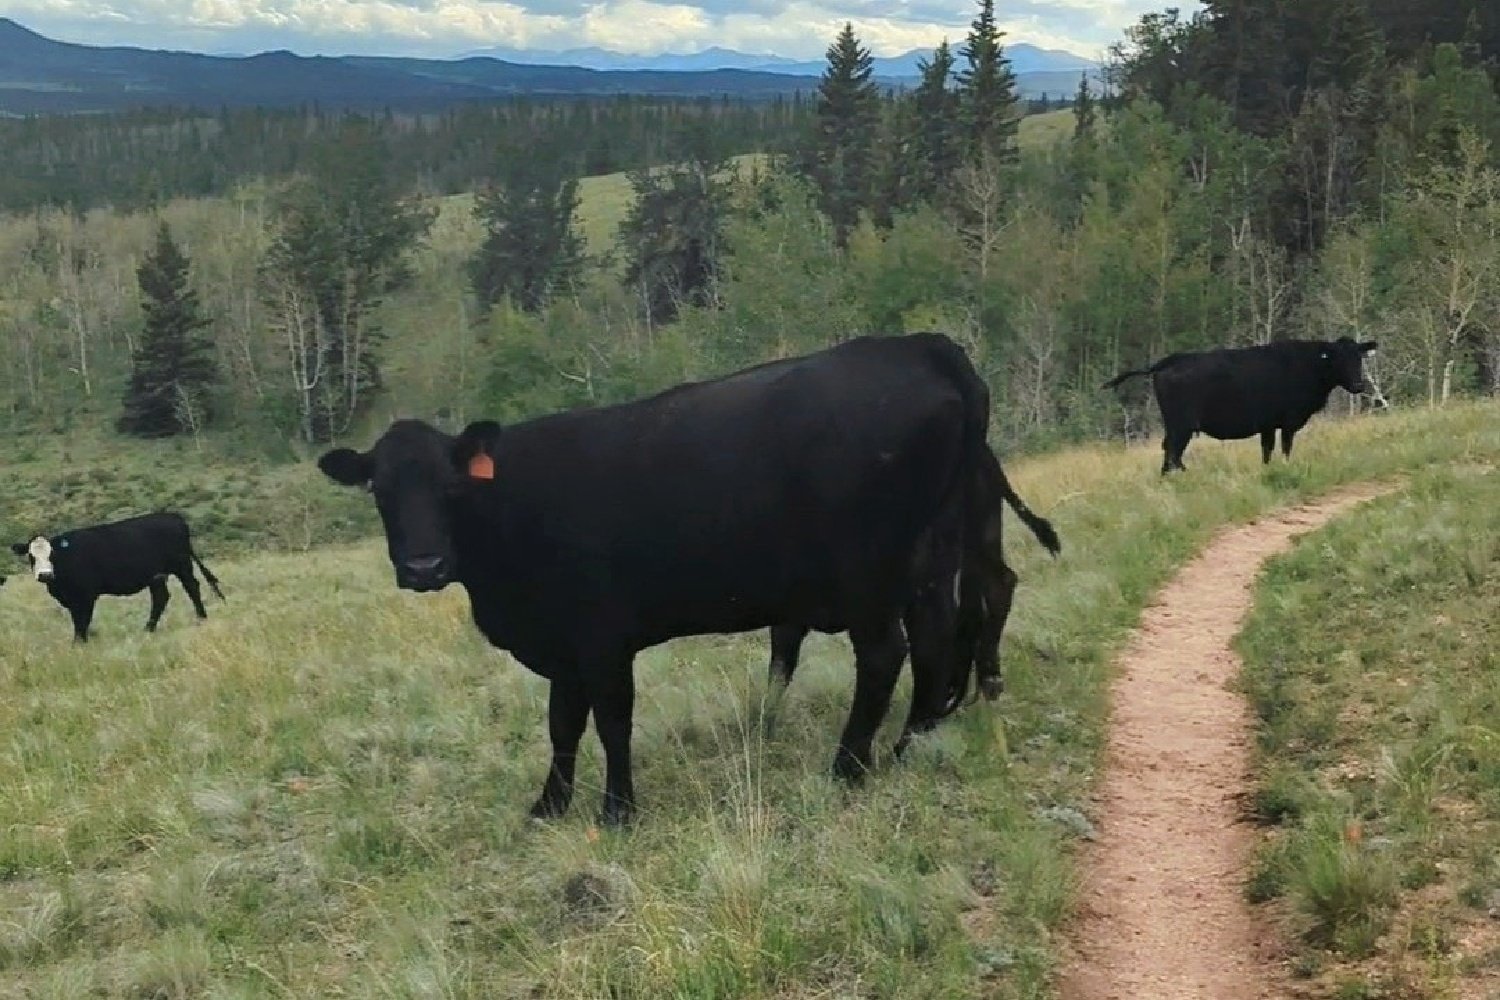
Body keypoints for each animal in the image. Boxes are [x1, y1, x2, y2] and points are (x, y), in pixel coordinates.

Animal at [8, 512, 225, 644]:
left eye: (52, 554)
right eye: (31, 556)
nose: (45, 575)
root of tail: (173, 516)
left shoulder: (86, 595)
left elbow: (82, 620)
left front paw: (80, 643)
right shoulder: (71, 599)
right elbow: (76, 619)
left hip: (182, 565)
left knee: (192, 587)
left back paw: (201, 618)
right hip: (156, 576)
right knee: (161, 597)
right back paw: (148, 629)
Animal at [318, 332, 990, 827]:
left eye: (451, 486)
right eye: (379, 489)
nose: (424, 567)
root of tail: (914, 346)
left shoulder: (601, 637)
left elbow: (613, 722)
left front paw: (618, 810)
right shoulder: (565, 648)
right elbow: (563, 724)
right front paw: (550, 805)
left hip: (866, 574)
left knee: (884, 655)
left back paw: (848, 767)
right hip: (930, 554)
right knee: (933, 640)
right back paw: (911, 747)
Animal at [1104, 338, 1380, 476]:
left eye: (1359, 357)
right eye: (1337, 358)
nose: (1358, 384)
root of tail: (1168, 361)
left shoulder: (1268, 424)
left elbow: (1267, 450)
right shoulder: (1287, 420)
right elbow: (1285, 448)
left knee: (1169, 451)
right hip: (1181, 424)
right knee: (1172, 451)